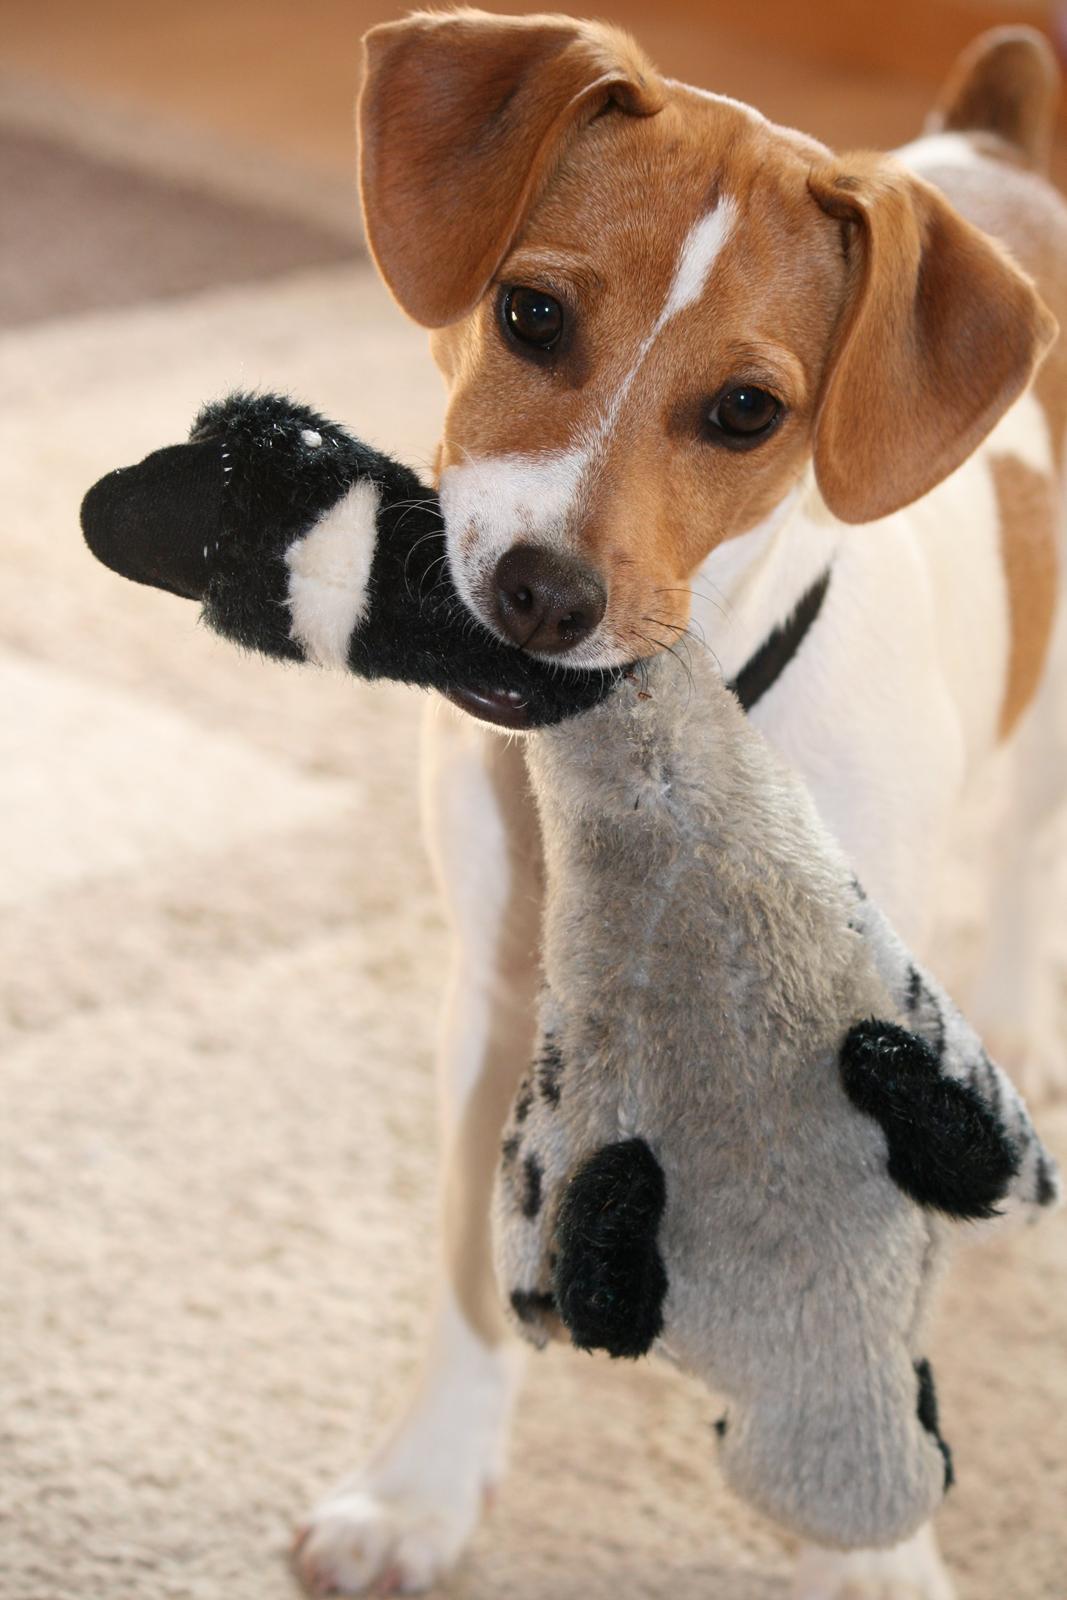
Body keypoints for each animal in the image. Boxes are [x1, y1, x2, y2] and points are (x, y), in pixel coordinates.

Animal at [292, 15, 1067, 1600]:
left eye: (745, 412)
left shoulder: (881, 1046)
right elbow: (465, 1270)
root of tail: (990, 142)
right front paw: (420, 1490)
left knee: (1030, 849)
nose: (541, 593)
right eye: (528, 315)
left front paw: (876, 1549)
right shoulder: (493, 1006)